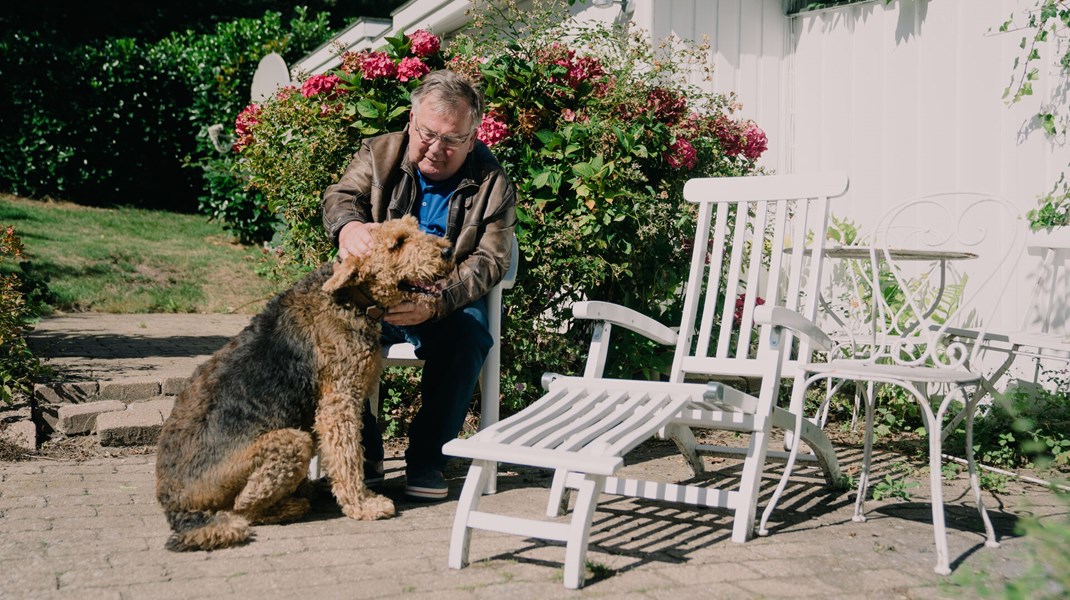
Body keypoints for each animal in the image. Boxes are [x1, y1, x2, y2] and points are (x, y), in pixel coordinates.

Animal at [156, 216, 451, 551]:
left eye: (413, 227)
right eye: (397, 242)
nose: (447, 251)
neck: (349, 298)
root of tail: (175, 503)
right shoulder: (340, 402)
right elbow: (349, 456)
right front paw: (363, 504)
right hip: (292, 442)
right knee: (243, 508)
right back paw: (295, 504)